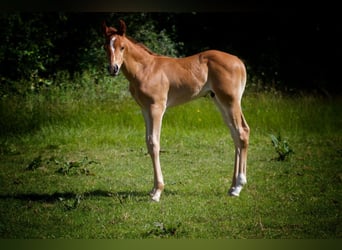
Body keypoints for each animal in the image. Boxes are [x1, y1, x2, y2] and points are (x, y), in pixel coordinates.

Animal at [101, 20, 248, 202]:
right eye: (105, 46)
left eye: (122, 47)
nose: (113, 68)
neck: (145, 69)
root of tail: (239, 62)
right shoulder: (145, 109)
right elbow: (148, 142)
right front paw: (152, 190)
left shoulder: (156, 108)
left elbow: (154, 143)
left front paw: (157, 192)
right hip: (219, 101)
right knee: (235, 134)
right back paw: (232, 186)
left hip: (230, 101)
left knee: (242, 132)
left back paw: (238, 186)